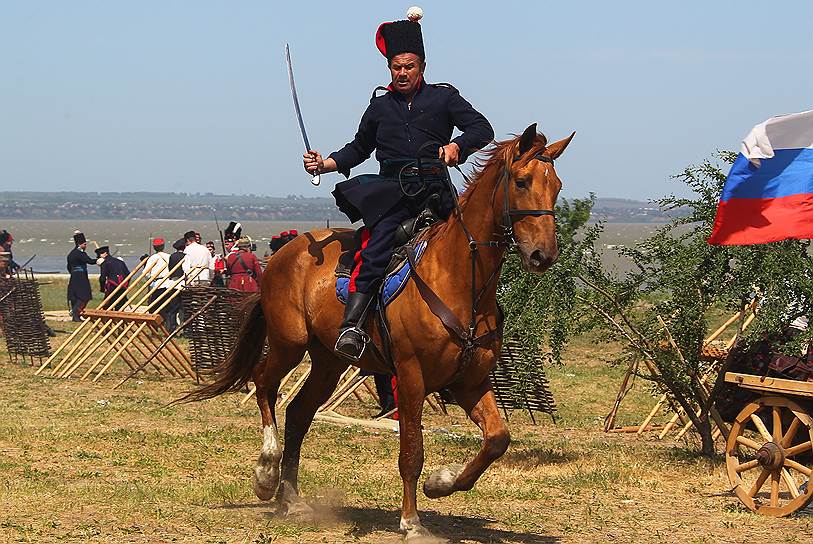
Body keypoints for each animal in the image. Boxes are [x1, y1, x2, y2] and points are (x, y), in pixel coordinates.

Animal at [187, 124, 576, 540]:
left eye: (557, 185)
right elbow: (411, 452)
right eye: (521, 182)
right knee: (264, 383)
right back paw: (266, 473)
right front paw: (411, 522)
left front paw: (441, 482)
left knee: (299, 412)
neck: (460, 281)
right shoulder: (410, 377)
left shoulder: (469, 382)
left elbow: (497, 440)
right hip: (289, 344)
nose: (543, 254)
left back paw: (291, 498)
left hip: (329, 361)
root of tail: (285, 252)